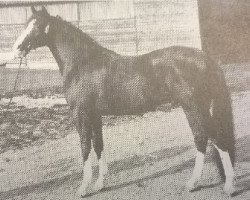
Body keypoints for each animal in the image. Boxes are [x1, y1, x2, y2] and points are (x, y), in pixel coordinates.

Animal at [12, 6, 236, 197]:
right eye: (26, 24)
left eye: (36, 26)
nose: (17, 49)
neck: (82, 64)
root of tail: (206, 59)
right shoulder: (95, 116)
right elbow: (98, 145)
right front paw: (100, 184)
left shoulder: (80, 115)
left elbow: (85, 148)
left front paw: (83, 188)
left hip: (194, 108)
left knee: (208, 138)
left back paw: (217, 185)